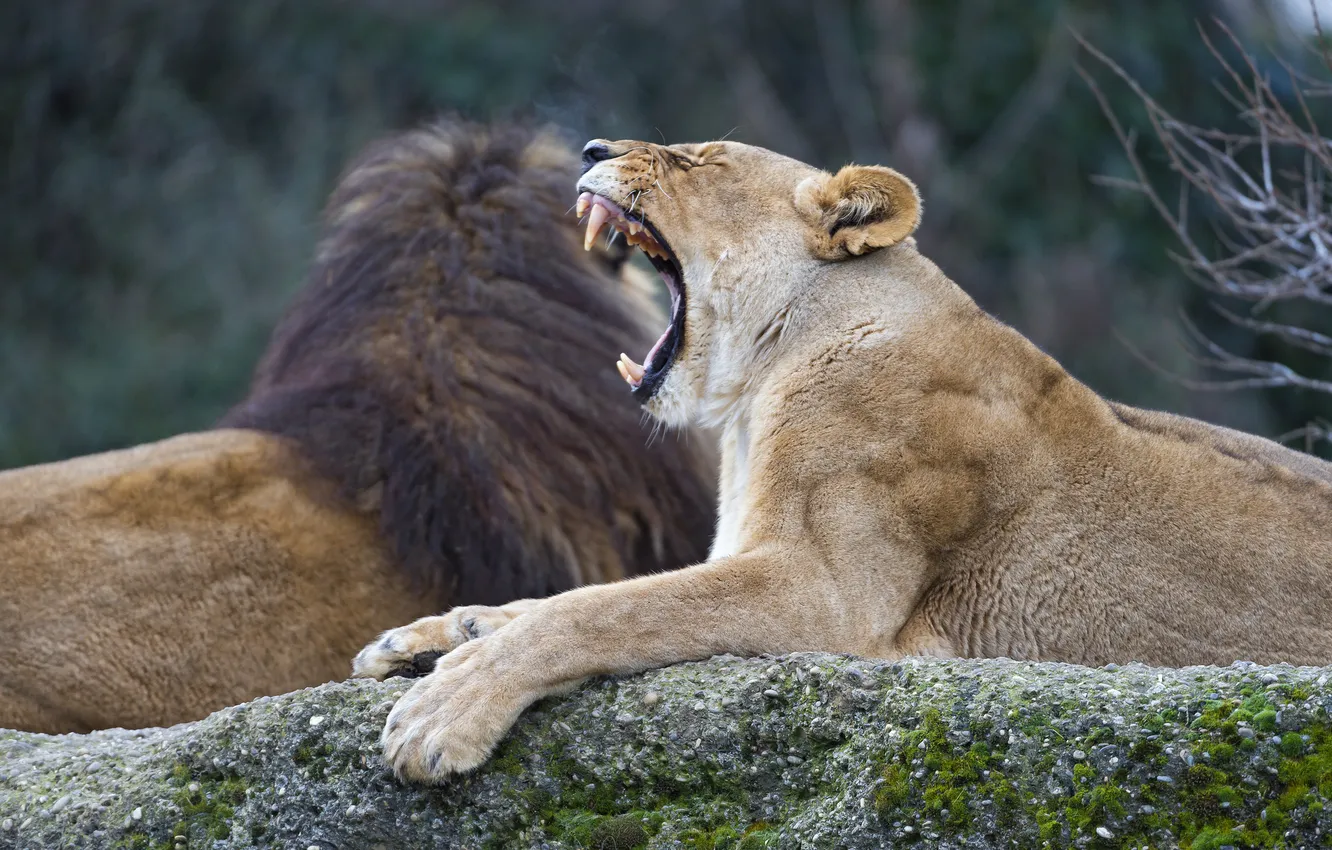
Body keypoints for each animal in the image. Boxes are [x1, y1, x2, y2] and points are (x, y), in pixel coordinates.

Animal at [352, 136, 1332, 783]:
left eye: (697, 160)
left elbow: (610, 609)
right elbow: (568, 598)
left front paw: (444, 709)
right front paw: (431, 635)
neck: (761, 386)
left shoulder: (827, 593)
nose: (591, 144)